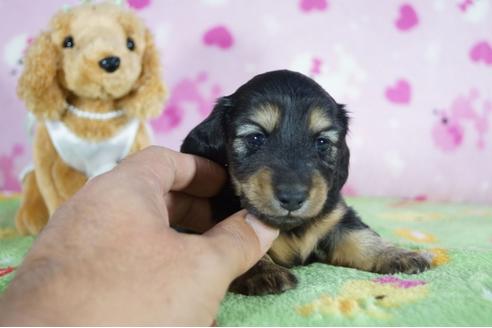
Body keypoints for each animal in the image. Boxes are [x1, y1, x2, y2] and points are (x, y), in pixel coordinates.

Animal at [181, 70, 430, 296]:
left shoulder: (336, 218)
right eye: (255, 138)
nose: (293, 198)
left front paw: (399, 254)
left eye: (322, 142)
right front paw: (264, 271)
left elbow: (362, 237)